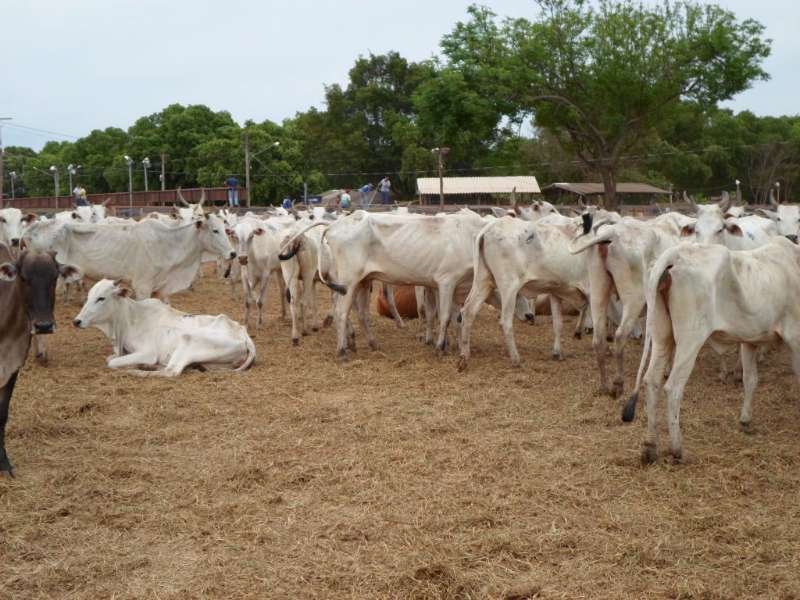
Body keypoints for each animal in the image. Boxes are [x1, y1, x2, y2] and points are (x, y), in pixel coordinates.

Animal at [0, 246, 79, 475]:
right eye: (24, 278)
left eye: (54, 278)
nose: (44, 325)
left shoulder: (13, 367)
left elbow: (2, 414)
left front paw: (3, 463)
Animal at [73, 279, 255, 376]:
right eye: (88, 296)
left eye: (101, 298)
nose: (77, 321)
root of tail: (242, 332)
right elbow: (109, 358)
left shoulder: (147, 352)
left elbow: (112, 362)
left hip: (187, 339)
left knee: (171, 371)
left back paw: (137, 371)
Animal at [622, 237, 800, 463]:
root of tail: (674, 255)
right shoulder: (795, 336)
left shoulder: (750, 341)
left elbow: (750, 380)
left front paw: (745, 420)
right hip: (690, 340)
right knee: (673, 387)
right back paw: (677, 449)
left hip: (662, 336)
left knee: (651, 381)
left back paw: (650, 447)